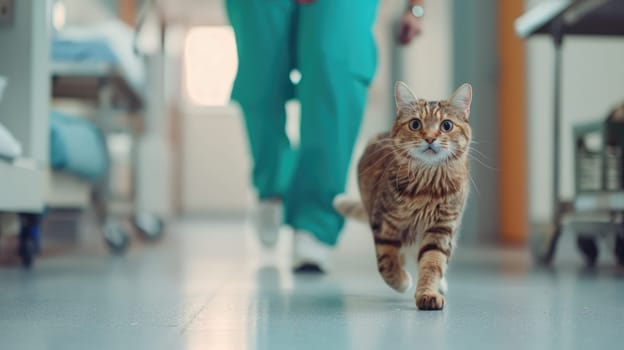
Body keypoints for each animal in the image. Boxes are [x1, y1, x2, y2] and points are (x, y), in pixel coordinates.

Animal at [336, 81, 472, 308]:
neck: (427, 187)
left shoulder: (441, 229)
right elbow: (387, 264)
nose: (430, 138)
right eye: (415, 124)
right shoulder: (384, 225)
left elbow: (432, 264)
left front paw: (428, 292)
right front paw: (403, 281)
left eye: (446, 125)